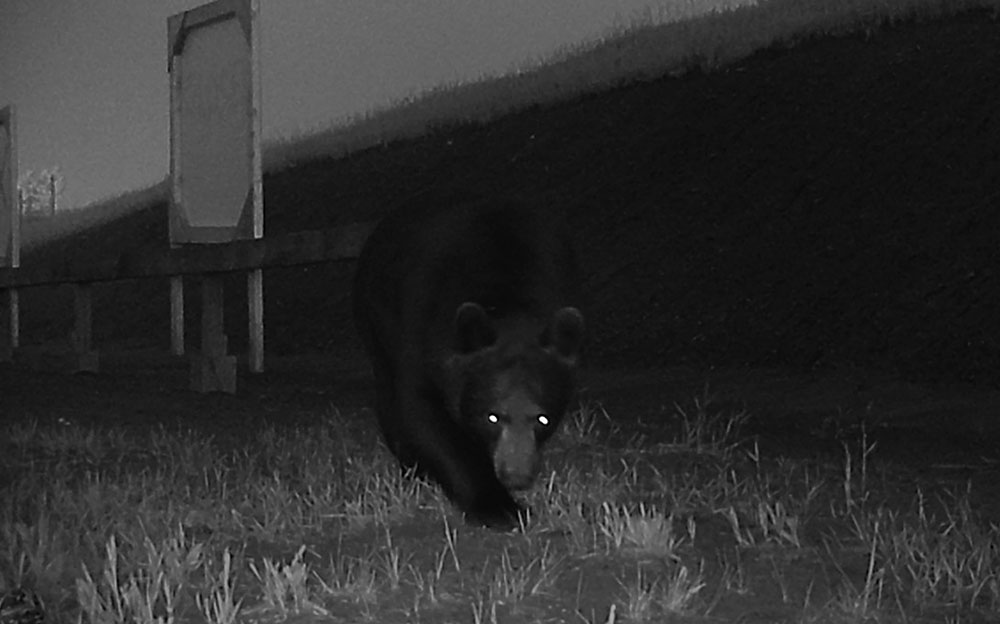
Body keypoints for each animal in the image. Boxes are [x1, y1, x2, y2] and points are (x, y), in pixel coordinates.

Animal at [354, 194, 584, 528]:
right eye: (492, 417)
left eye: (543, 419)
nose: (516, 476)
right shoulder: (422, 328)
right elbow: (420, 411)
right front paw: (500, 506)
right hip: (376, 317)